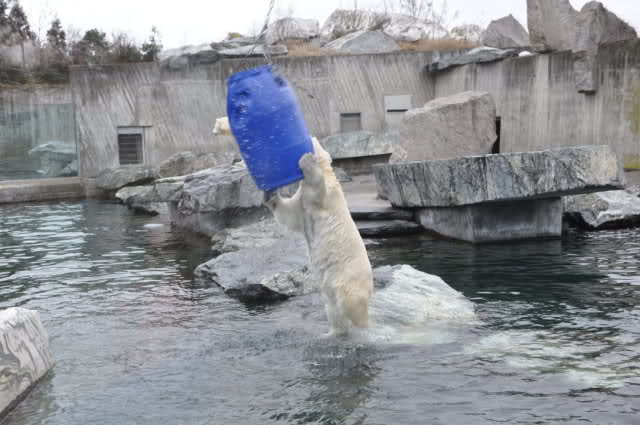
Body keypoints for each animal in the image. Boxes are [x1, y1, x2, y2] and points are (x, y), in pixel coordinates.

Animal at [266, 137, 374, 336]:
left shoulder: (328, 195)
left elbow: (317, 191)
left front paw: (306, 161)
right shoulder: (300, 205)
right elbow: (289, 215)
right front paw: (270, 194)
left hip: (349, 279)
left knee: (351, 304)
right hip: (333, 290)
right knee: (334, 311)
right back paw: (331, 333)